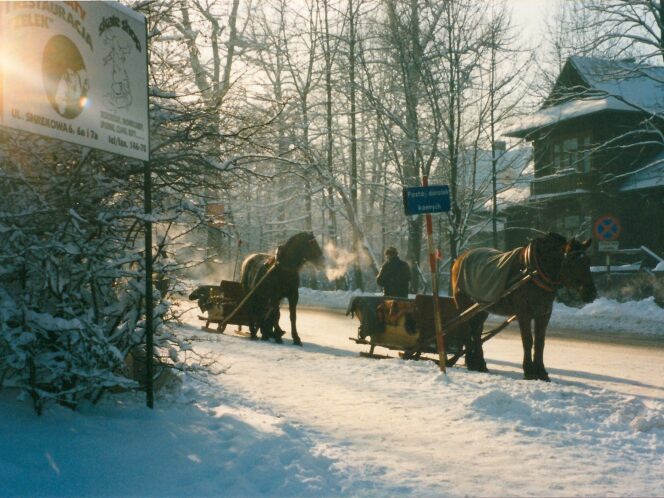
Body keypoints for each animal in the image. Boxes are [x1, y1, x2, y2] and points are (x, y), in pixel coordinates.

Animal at [452, 233, 596, 382]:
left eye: (588, 261)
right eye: (573, 263)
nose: (591, 293)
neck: (534, 271)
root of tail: (460, 258)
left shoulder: (544, 314)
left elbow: (539, 342)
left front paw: (542, 372)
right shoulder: (523, 313)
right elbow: (527, 340)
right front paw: (529, 371)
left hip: (482, 308)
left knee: (476, 332)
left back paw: (480, 363)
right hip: (464, 305)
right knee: (467, 330)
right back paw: (471, 362)